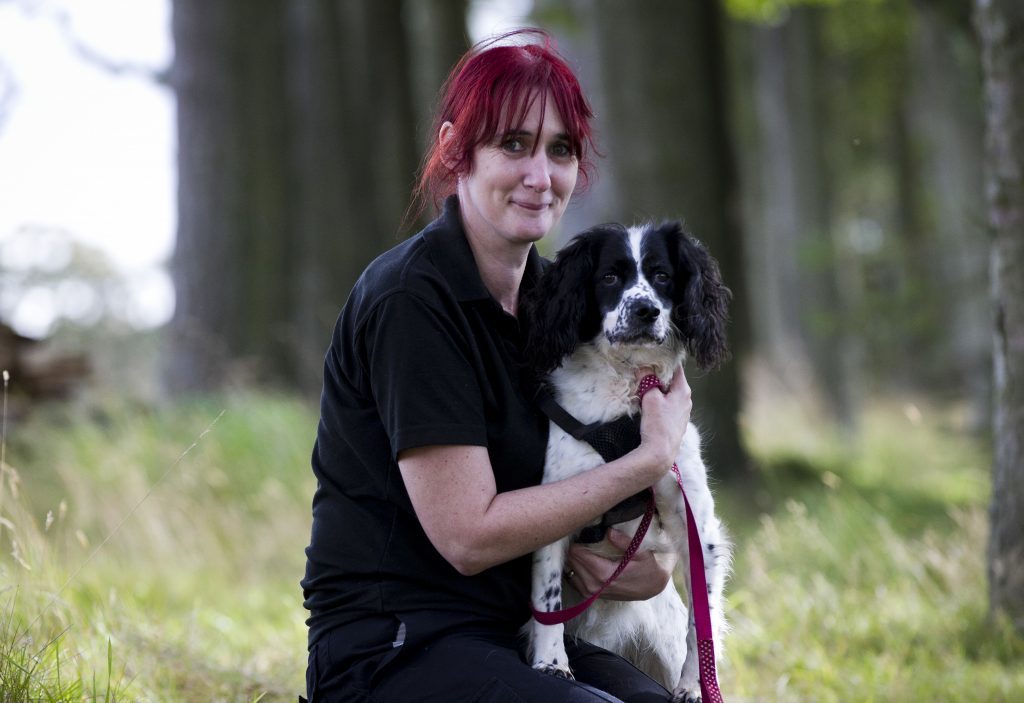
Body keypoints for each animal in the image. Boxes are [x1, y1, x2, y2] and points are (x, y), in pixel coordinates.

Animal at [524, 221, 733, 703]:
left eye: (661, 276)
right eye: (609, 277)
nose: (645, 310)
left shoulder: (699, 529)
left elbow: (701, 624)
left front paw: (694, 687)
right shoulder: (553, 509)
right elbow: (548, 600)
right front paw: (552, 664)